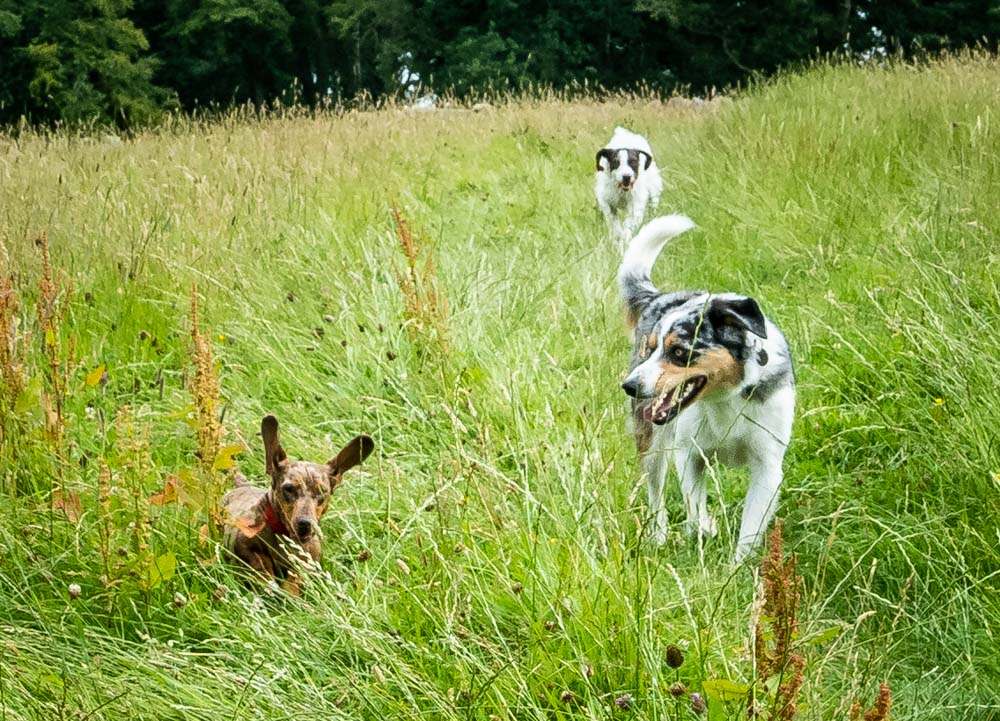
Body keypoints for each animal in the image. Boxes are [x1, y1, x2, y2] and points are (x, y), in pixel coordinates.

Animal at [616, 215, 796, 564]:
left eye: (678, 352)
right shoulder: (688, 454)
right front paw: (705, 528)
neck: (725, 398)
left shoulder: (767, 468)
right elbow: (694, 507)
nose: (630, 386)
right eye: (651, 349)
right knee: (655, 491)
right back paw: (660, 534)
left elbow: (750, 530)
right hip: (651, 443)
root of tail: (661, 296)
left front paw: (738, 568)